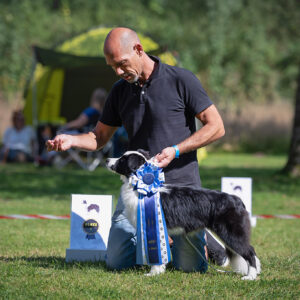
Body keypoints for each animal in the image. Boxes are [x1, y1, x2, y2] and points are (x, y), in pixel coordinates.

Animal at [106, 149, 262, 280]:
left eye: (122, 160)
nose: (107, 159)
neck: (139, 187)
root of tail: (237, 200)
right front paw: (159, 270)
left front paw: (153, 273)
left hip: (230, 233)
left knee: (250, 252)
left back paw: (251, 276)